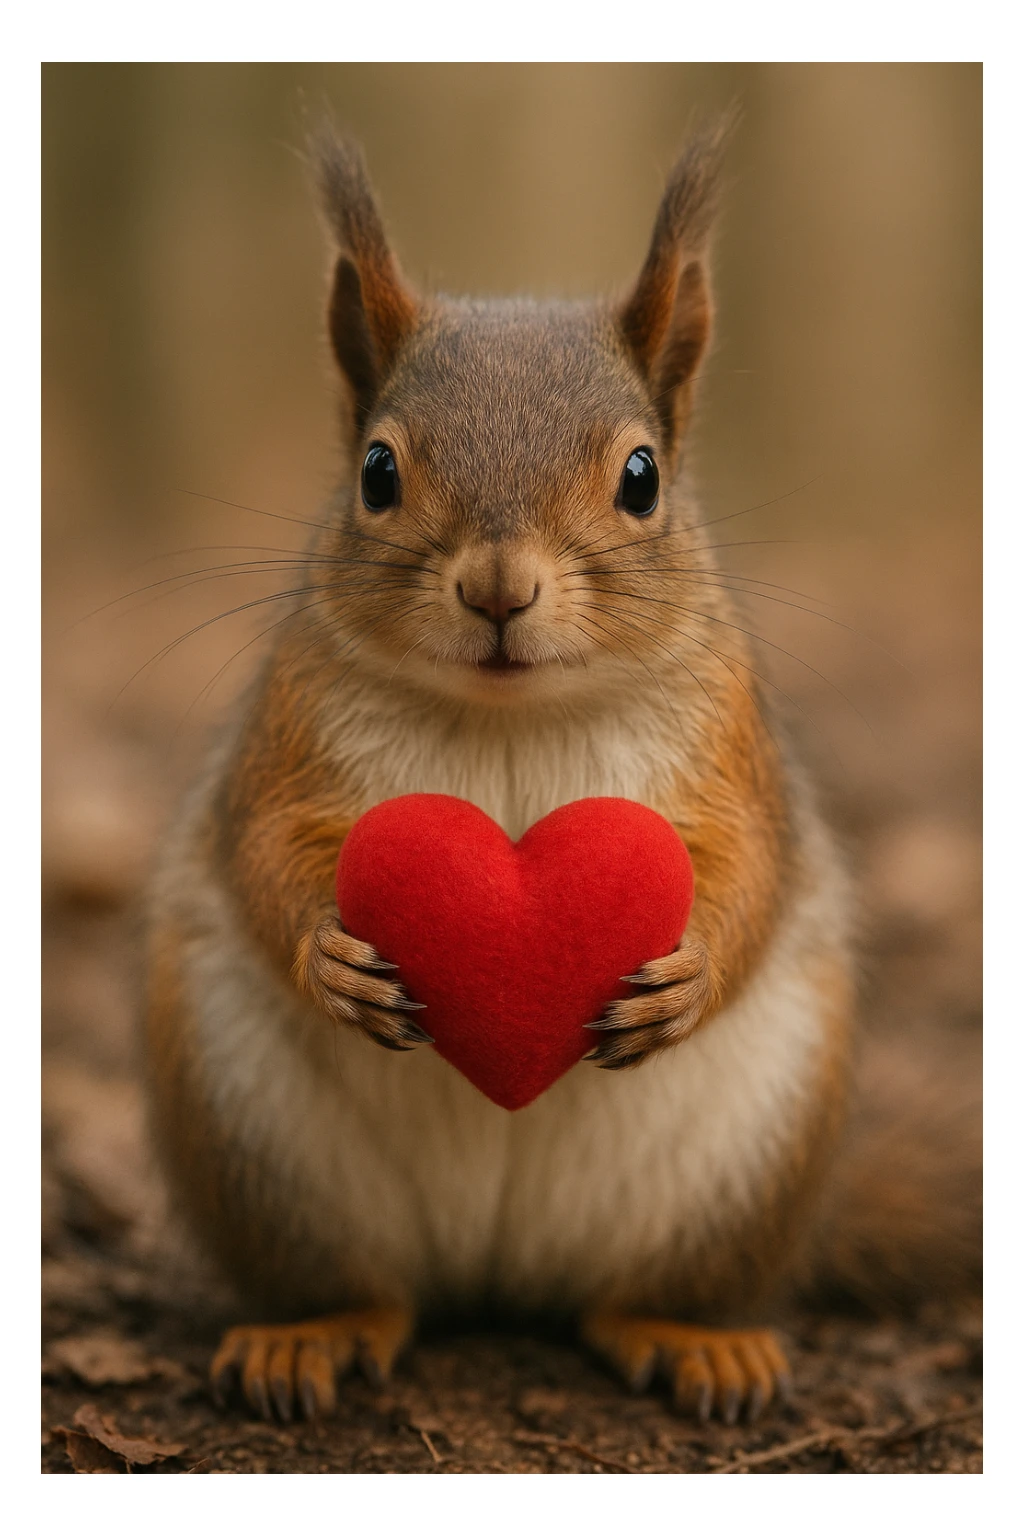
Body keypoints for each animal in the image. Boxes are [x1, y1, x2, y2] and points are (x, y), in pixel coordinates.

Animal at [143, 119, 980, 1427]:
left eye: (642, 477)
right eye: (376, 472)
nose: (498, 589)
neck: (509, 720)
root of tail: (497, 1275)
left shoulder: (729, 749)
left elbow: (746, 865)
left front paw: (687, 975)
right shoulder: (284, 737)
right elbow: (267, 847)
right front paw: (331, 956)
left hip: (748, 1159)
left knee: (632, 1296)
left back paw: (691, 1339)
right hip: (250, 1142)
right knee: (365, 1287)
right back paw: (312, 1332)